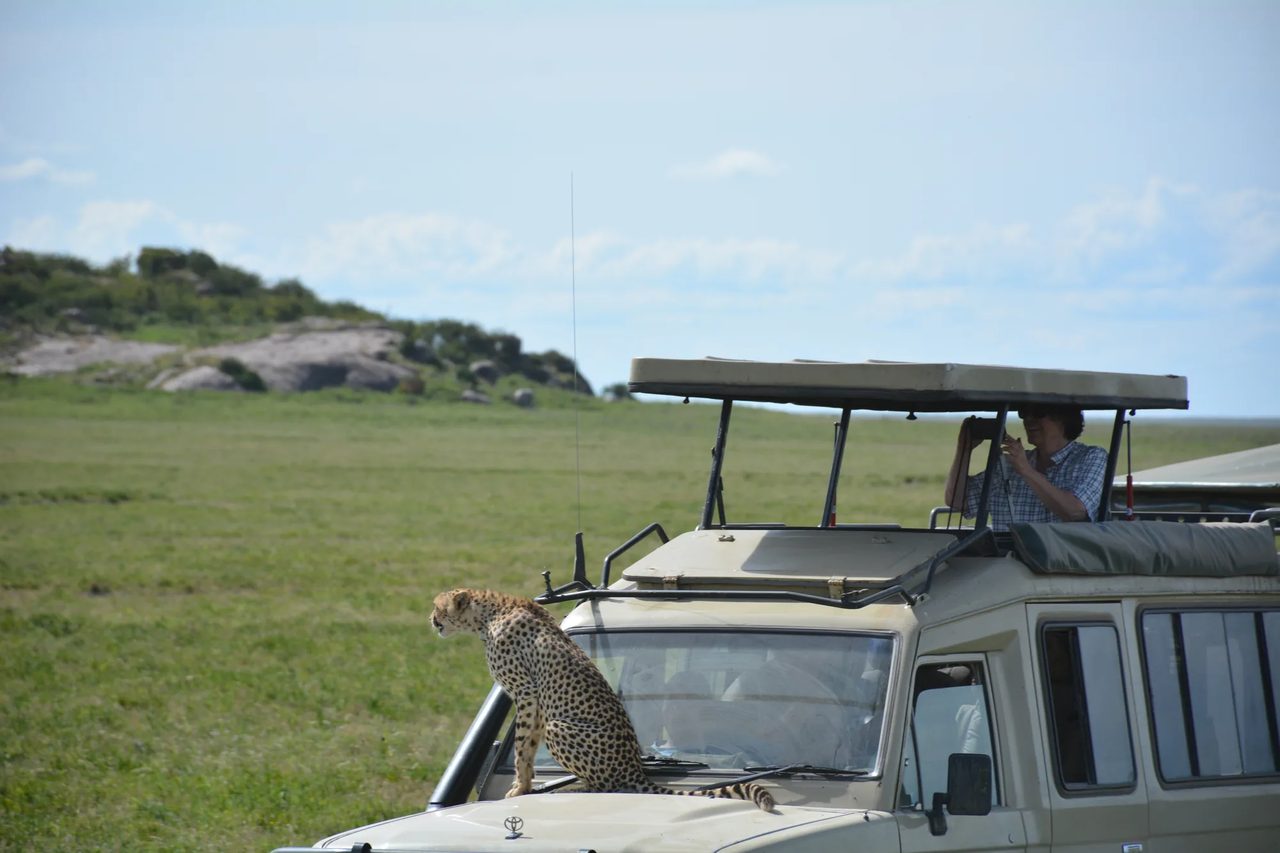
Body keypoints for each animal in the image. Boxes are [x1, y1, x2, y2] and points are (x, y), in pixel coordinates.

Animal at [430, 588, 776, 811]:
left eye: (437, 607)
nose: (431, 621)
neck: (490, 613)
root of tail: (634, 768)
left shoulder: (526, 692)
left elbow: (522, 746)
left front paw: (519, 787)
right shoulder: (537, 700)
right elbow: (527, 745)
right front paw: (524, 786)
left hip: (560, 728)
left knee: (606, 785)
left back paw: (577, 787)